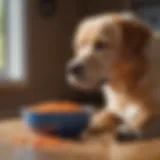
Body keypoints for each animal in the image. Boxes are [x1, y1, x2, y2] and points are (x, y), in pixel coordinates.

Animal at [66, 12, 160, 140]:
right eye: (79, 47)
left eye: (100, 45)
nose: (72, 68)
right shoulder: (112, 109)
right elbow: (99, 117)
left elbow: (145, 116)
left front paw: (130, 129)